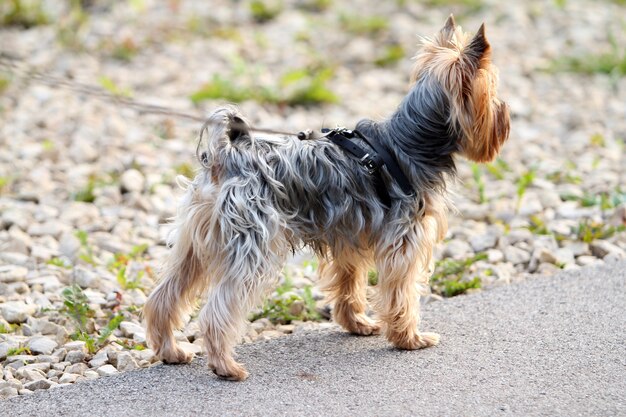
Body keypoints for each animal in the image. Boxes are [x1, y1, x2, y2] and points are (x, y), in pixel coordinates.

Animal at [145, 15, 508, 380]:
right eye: (492, 93)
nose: (505, 113)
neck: (410, 144)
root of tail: (226, 156)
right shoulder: (404, 242)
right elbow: (401, 294)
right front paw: (410, 338)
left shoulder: (349, 237)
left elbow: (349, 284)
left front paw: (357, 323)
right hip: (253, 245)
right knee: (217, 310)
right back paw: (225, 365)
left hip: (196, 241)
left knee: (165, 295)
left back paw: (171, 351)